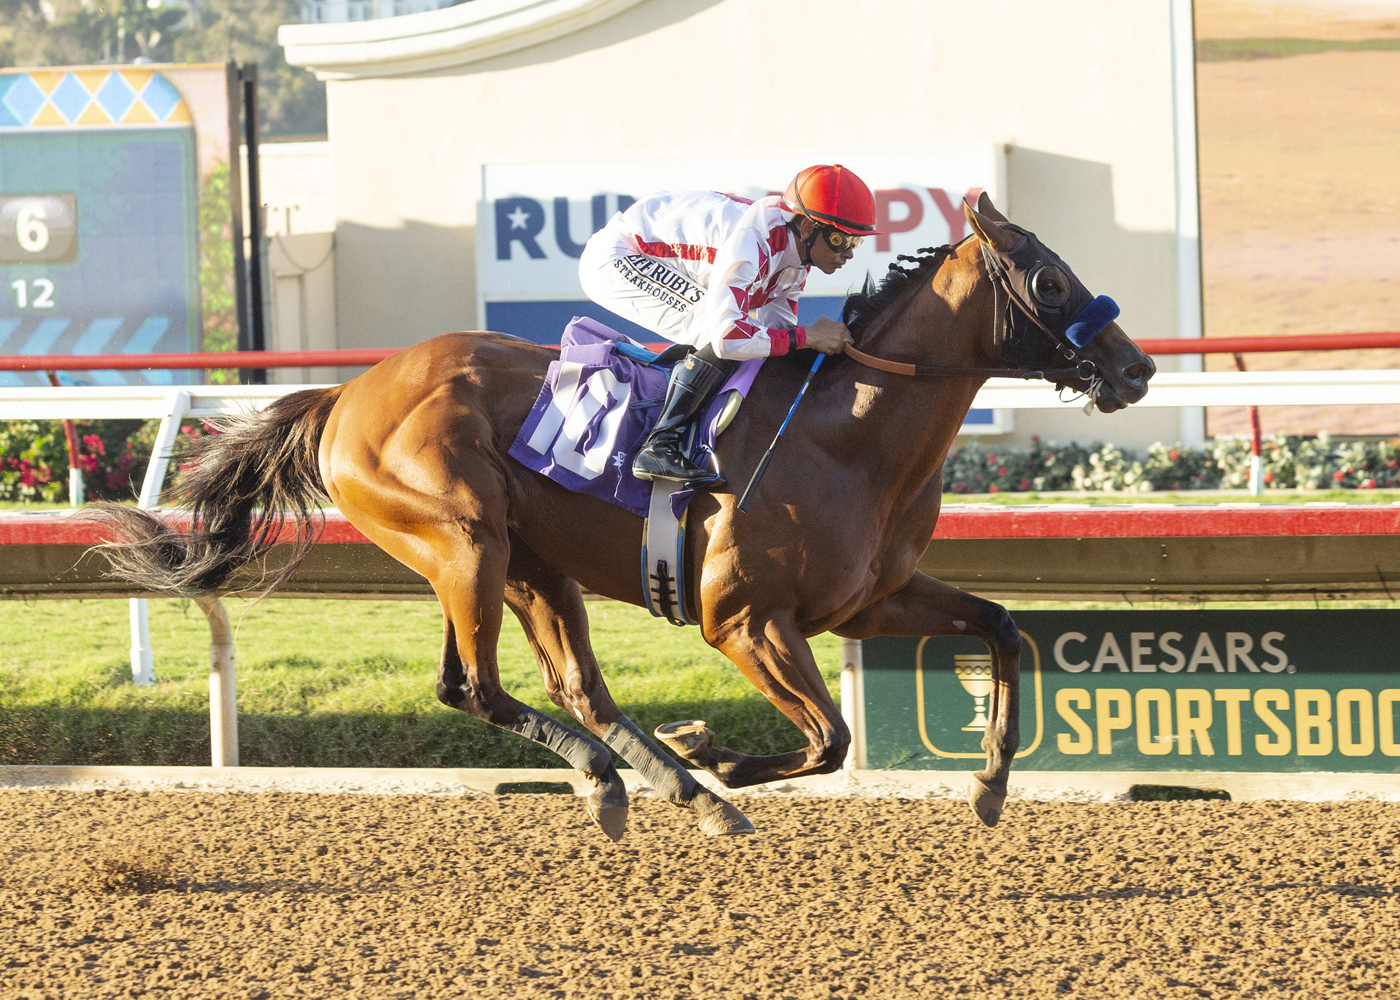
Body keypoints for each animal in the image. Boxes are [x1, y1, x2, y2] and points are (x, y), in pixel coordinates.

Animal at [95, 194, 1148, 834]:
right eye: (1049, 280)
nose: (1136, 368)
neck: (851, 434)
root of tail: (347, 394)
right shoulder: (743, 621)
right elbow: (829, 740)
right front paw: (716, 755)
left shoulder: (866, 603)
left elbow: (1001, 627)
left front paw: (990, 783)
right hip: (464, 541)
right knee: (474, 688)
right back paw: (643, 778)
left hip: (528, 562)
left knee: (570, 689)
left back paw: (660, 782)